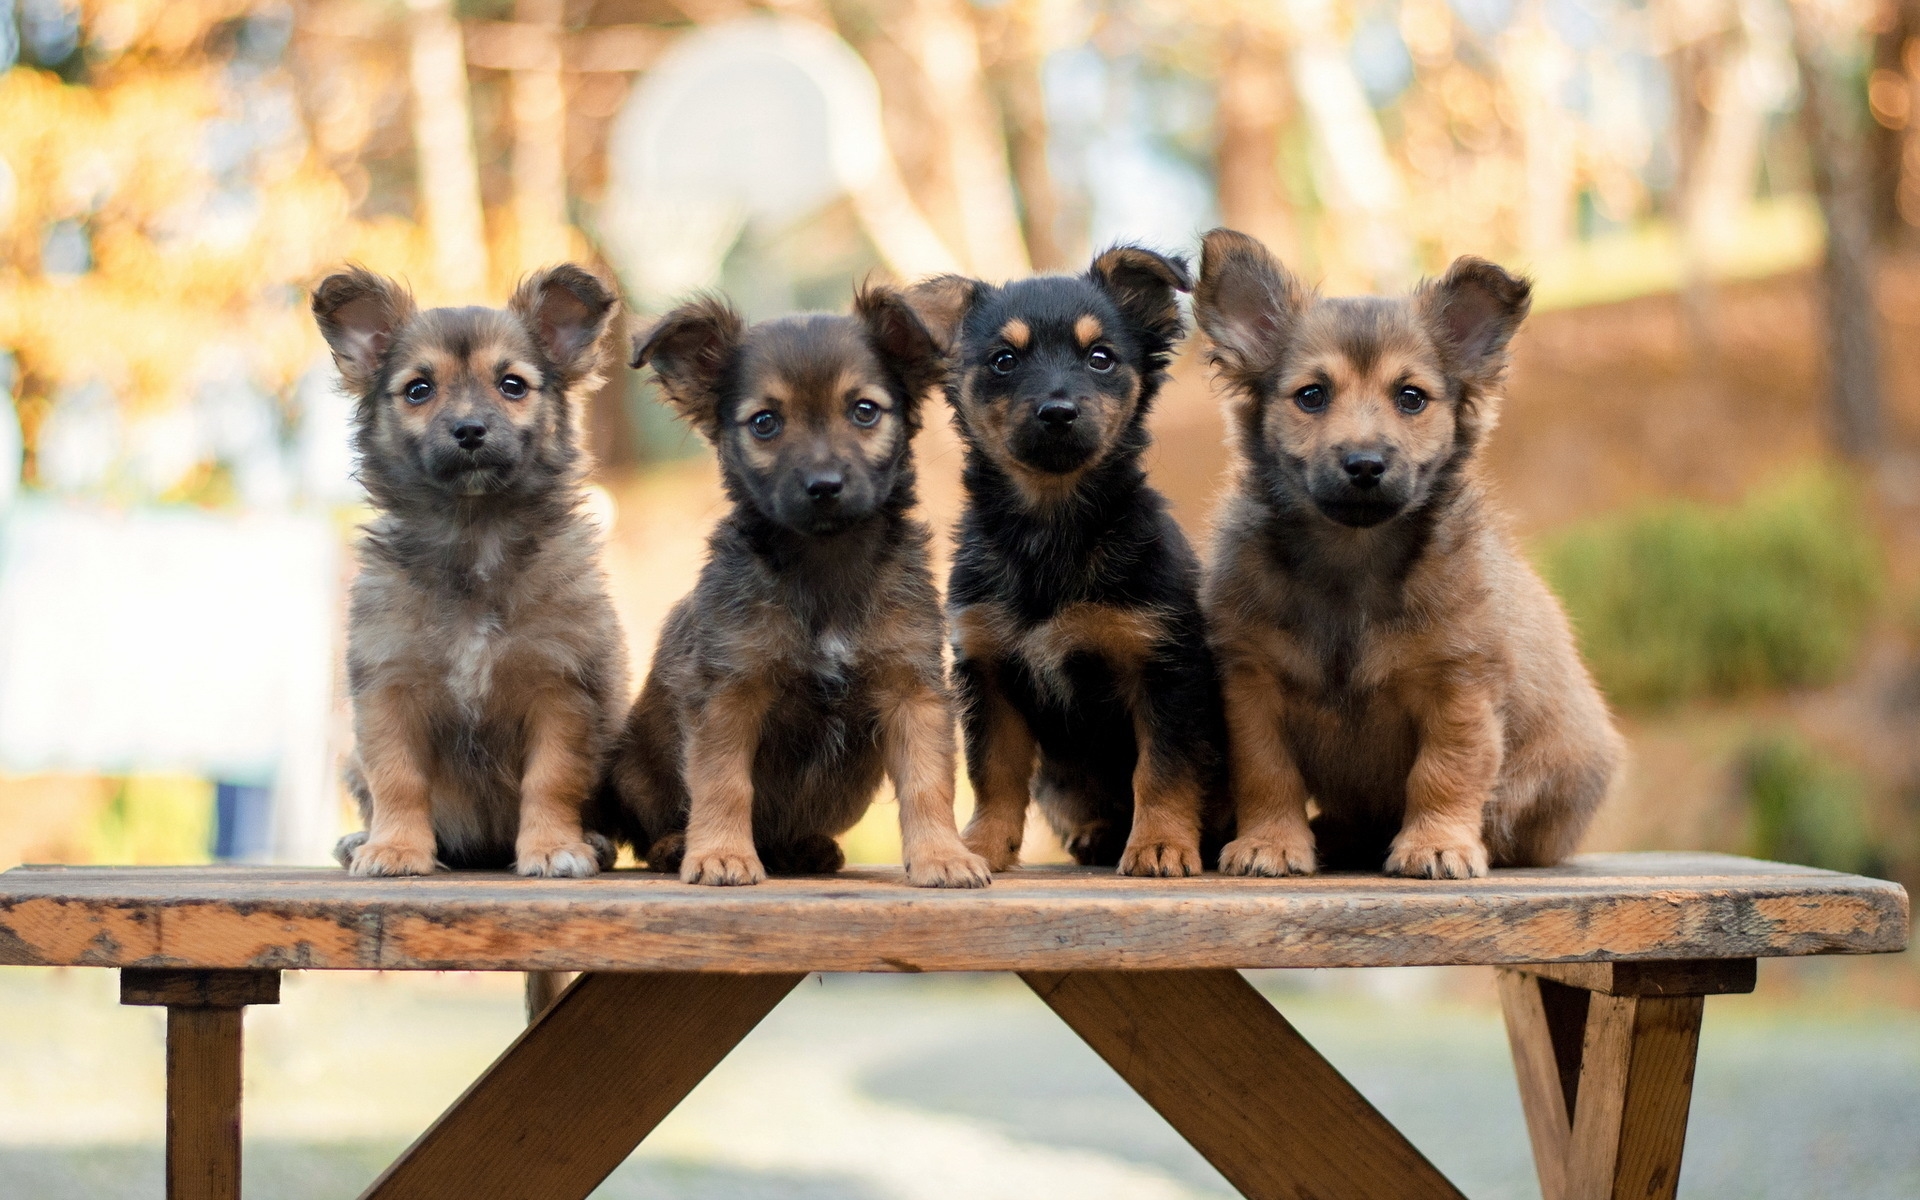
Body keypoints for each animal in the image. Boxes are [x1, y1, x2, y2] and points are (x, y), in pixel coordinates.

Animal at [312, 266, 629, 875]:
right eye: (418, 389)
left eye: (512, 385)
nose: (469, 430)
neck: (475, 535)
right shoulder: (389, 687)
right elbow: (397, 779)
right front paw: (395, 849)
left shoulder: (561, 689)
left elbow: (552, 779)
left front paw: (553, 847)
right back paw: (360, 840)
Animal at [602, 286, 990, 883]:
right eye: (764, 422)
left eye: (864, 411)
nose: (824, 486)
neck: (824, 560)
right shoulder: (729, 690)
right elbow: (723, 783)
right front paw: (721, 853)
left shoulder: (913, 688)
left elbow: (928, 784)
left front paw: (942, 856)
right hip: (631, 770)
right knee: (650, 830)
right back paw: (676, 846)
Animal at [902, 247, 1228, 875]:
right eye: (1003, 361)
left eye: (1101, 358)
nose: (1058, 411)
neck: (1052, 529)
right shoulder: (990, 672)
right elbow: (995, 773)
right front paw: (983, 845)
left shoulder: (1164, 669)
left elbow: (1162, 769)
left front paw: (1160, 845)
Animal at [1198, 229, 1620, 875]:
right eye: (1311, 396)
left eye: (1412, 398)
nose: (1365, 464)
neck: (1351, 558)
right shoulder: (1251, 685)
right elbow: (1266, 772)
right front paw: (1269, 842)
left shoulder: (1459, 686)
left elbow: (1444, 773)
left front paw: (1437, 844)